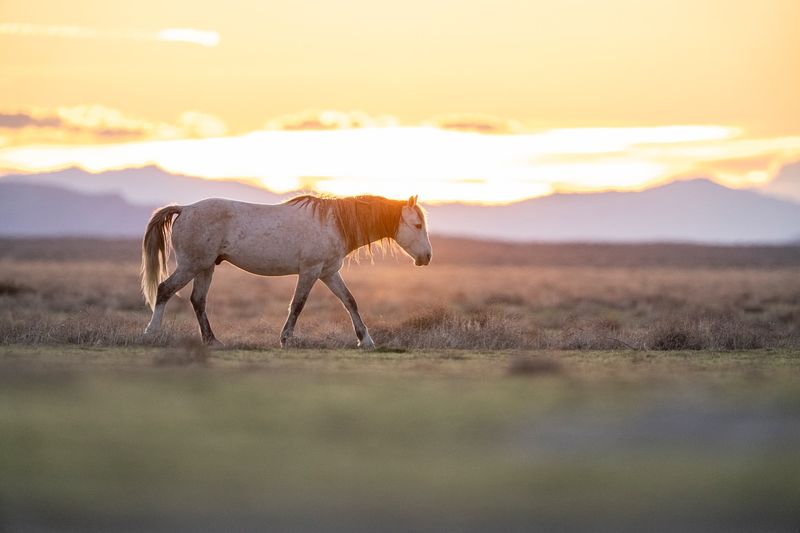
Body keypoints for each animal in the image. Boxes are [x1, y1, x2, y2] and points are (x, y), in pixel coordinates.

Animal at [142, 193, 432, 348]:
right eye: (417, 225)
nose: (427, 257)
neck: (334, 224)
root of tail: (185, 209)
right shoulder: (310, 271)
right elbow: (298, 304)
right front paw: (285, 339)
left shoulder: (328, 273)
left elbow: (350, 301)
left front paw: (366, 340)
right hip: (191, 265)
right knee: (165, 290)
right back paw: (151, 333)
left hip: (205, 268)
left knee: (198, 301)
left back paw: (212, 341)